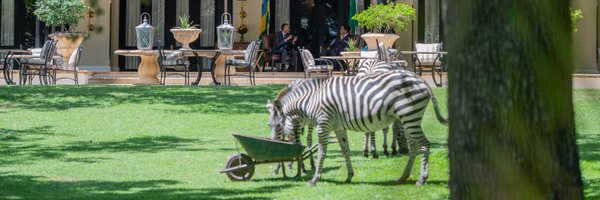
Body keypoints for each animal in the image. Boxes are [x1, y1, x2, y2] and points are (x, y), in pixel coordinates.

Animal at [266, 70, 446, 186]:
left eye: (278, 125)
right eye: (269, 125)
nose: (275, 143)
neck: (312, 99)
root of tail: (420, 79)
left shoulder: (323, 124)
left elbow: (322, 152)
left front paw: (315, 178)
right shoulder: (338, 127)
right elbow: (345, 150)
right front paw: (349, 176)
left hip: (409, 116)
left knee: (424, 144)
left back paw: (422, 179)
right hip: (408, 118)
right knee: (415, 146)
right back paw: (404, 176)